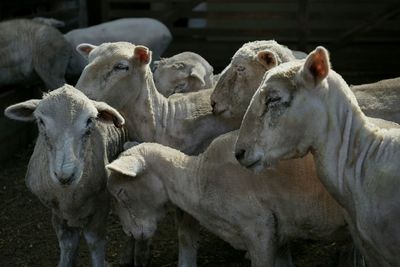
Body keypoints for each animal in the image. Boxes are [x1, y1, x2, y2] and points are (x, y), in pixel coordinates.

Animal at [3, 85, 128, 266]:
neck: (67, 192)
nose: (65, 175)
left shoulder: (102, 203)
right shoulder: (57, 211)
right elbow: (68, 243)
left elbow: (94, 242)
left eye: (90, 120)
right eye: (41, 121)